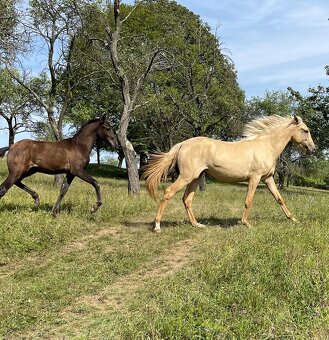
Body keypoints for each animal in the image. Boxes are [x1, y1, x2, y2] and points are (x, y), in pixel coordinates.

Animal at [144, 115, 316, 232]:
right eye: (305, 130)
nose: (313, 149)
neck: (266, 146)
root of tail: (183, 144)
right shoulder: (255, 178)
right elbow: (248, 200)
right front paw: (246, 223)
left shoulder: (268, 179)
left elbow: (280, 199)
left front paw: (293, 219)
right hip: (186, 177)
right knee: (168, 192)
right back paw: (157, 226)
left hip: (195, 178)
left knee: (187, 200)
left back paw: (197, 224)